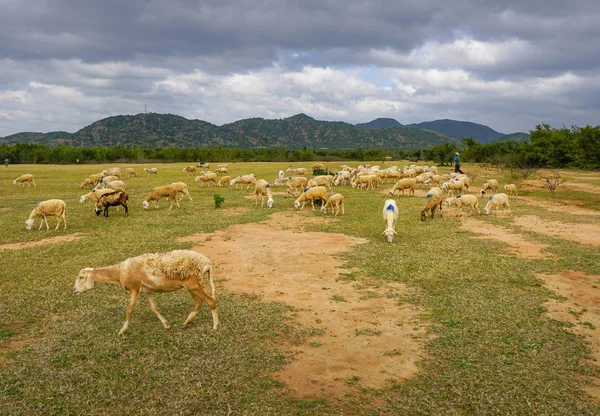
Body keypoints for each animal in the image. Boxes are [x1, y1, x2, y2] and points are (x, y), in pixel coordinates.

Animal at [72, 250, 218, 334]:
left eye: (81, 277)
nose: (74, 290)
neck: (119, 272)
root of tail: (207, 263)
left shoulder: (135, 288)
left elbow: (129, 309)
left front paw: (122, 330)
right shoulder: (148, 291)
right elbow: (153, 308)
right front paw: (166, 324)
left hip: (194, 284)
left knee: (210, 301)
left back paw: (215, 326)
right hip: (192, 285)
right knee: (199, 302)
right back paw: (187, 322)